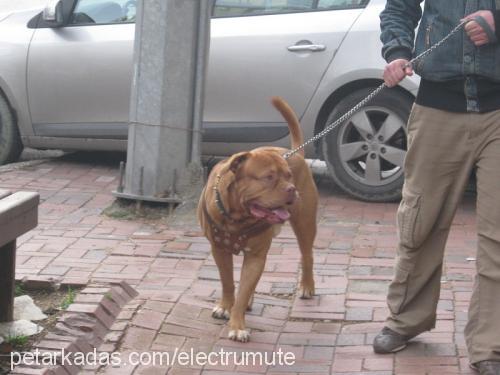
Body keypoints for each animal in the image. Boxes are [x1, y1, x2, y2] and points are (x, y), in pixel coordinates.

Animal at [196, 97, 316, 344]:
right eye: (268, 177)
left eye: (288, 176)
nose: (291, 189)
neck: (238, 217)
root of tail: (295, 153)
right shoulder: (219, 250)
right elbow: (228, 282)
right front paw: (226, 307)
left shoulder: (256, 255)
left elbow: (242, 290)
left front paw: (237, 325)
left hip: (305, 223)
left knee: (307, 254)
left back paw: (307, 286)